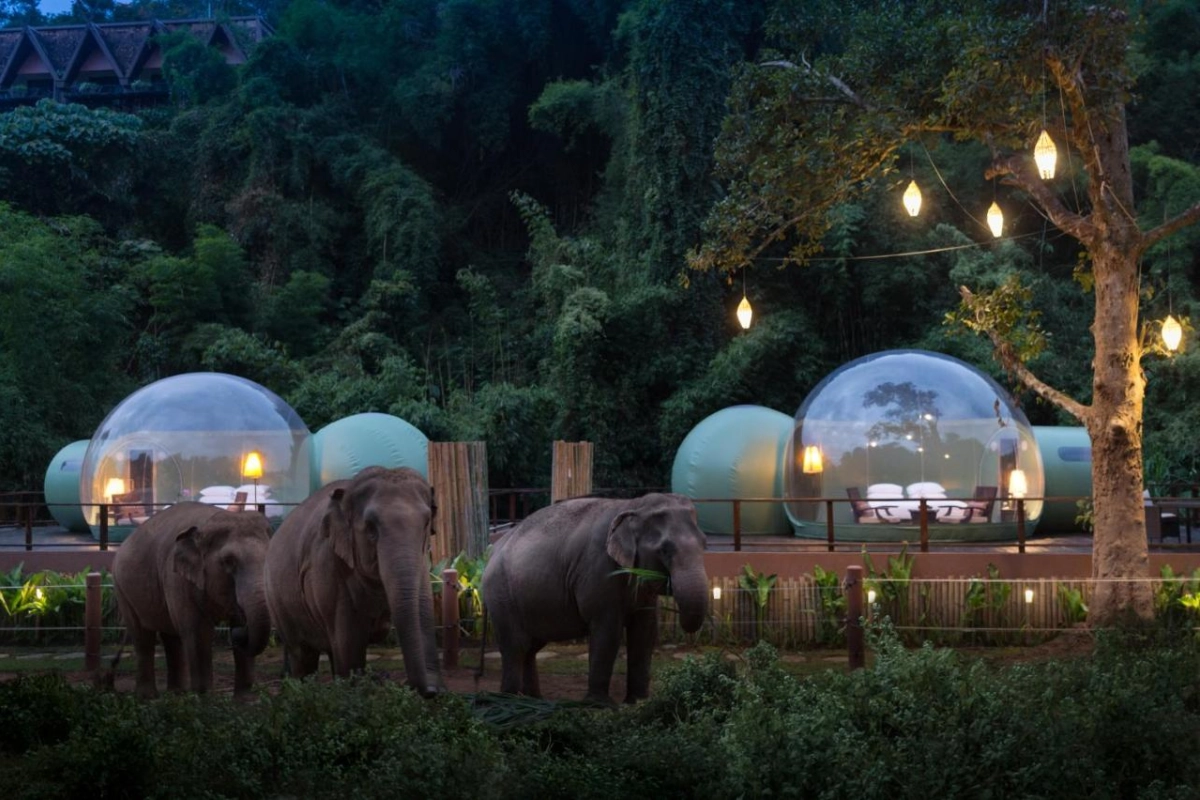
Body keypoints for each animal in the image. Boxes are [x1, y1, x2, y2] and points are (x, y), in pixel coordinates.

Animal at [111, 502, 273, 699]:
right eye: (229, 561)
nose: (238, 635)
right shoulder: (177, 579)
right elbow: (198, 632)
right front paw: (204, 699)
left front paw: (245, 701)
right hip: (121, 588)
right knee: (143, 637)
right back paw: (148, 697)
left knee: (171, 637)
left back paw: (176, 694)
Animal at [264, 466, 442, 695]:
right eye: (370, 528)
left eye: (426, 523)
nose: (431, 691)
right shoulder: (327, 566)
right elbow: (349, 645)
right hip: (277, 602)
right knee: (303, 654)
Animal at [481, 492, 709, 704]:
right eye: (665, 550)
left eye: (705, 544)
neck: (632, 504)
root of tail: (490, 553)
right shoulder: (598, 570)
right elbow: (608, 630)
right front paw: (601, 704)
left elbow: (645, 631)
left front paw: (639, 701)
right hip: (501, 597)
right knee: (515, 647)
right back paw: (508, 701)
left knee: (530, 648)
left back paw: (535, 701)